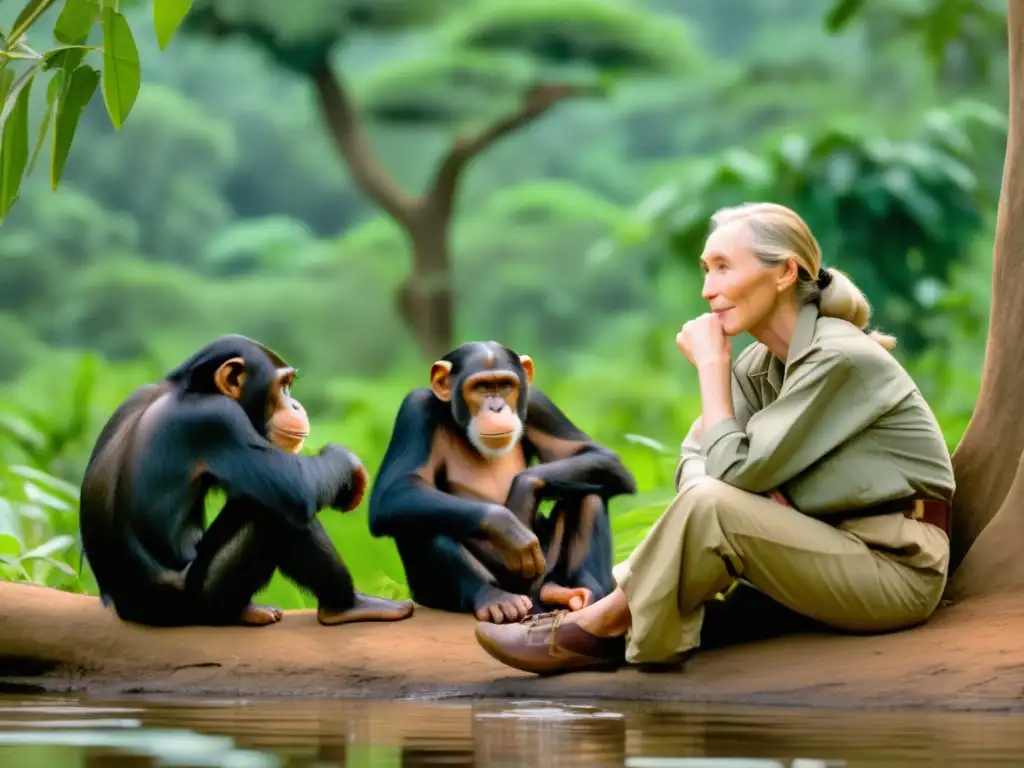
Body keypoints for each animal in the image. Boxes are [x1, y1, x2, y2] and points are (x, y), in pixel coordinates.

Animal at [78, 333, 415, 626]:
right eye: (282, 386)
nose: (296, 404)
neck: (193, 390)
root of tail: (125, 609)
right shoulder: (218, 420)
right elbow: (295, 488)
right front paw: (348, 464)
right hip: (200, 602)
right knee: (274, 513)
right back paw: (344, 607)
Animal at [368, 342, 638, 626]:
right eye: (480, 387)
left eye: (505, 385)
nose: (496, 407)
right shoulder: (414, 408)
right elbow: (394, 490)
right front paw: (507, 526)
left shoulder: (539, 403)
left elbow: (600, 456)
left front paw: (522, 494)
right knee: (417, 517)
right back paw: (496, 599)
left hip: (545, 572)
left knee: (589, 494)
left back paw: (579, 591)